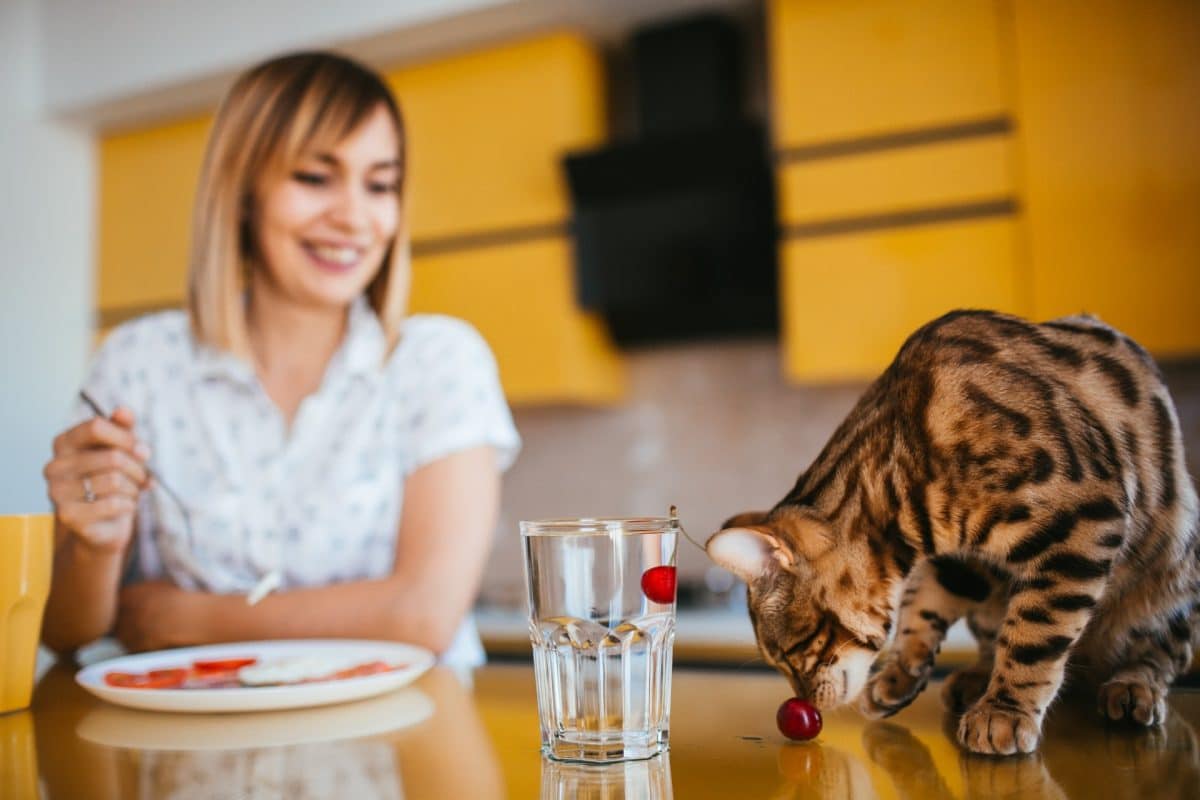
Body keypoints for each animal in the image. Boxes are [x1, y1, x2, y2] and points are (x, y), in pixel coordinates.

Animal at [705, 309, 1195, 753]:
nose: (805, 702)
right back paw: (974, 677)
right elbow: (923, 607)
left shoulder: (1084, 518)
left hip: (1175, 576)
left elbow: (1035, 634)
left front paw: (1004, 710)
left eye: (789, 653)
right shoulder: (964, 559)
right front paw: (901, 673)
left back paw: (1131, 687)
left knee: (1163, 655)